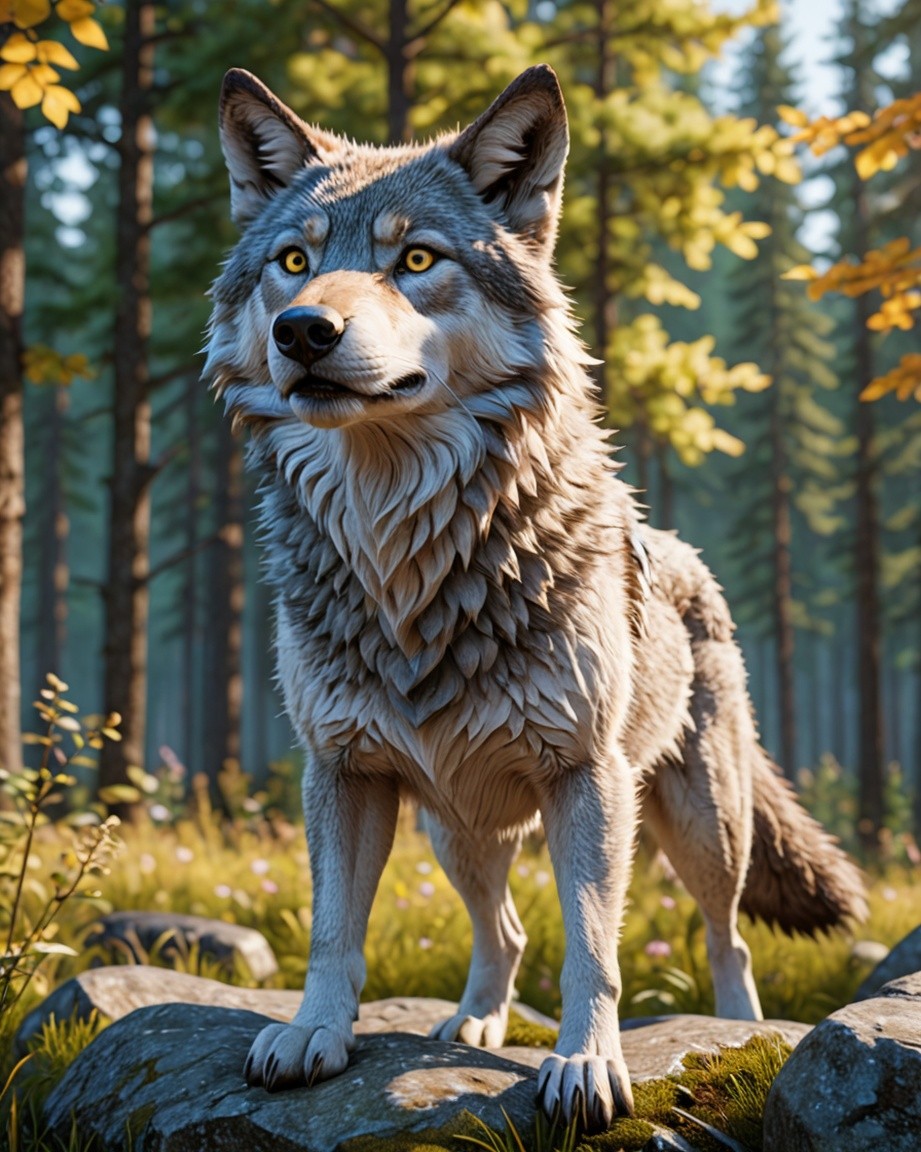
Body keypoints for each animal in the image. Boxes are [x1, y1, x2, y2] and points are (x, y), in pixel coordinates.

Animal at [205, 64, 866, 1132]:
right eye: (294, 261)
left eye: (416, 259)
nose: (301, 330)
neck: (406, 555)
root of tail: (687, 558)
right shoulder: (341, 769)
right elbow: (333, 928)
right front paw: (312, 1034)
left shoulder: (586, 778)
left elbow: (592, 946)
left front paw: (586, 1064)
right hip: (453, 827)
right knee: (505, 932)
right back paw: (474, 1023)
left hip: (699, 827)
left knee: (726, 937)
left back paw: (735, 1030)